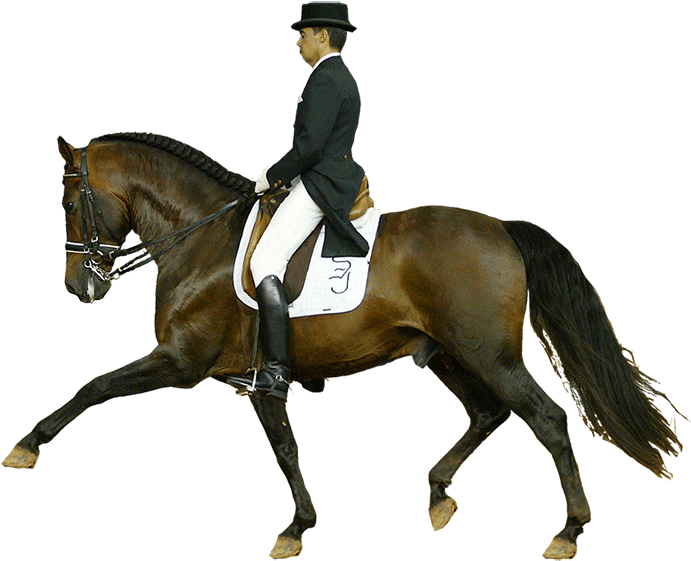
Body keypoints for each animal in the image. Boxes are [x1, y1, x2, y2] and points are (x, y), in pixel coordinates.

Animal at [3, 132, 685, 559]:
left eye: (70, 201)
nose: (79, 287)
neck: (197, 237)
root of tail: (501, 229)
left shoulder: (181, 362)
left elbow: (93, 386)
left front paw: (27, 445)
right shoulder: (257, 381)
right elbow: (285, 448)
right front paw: (300, 526)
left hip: (489, 355)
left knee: (545, 419)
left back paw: (568, 532)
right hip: (447, 355)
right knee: (488, 413)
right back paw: (439, 493)